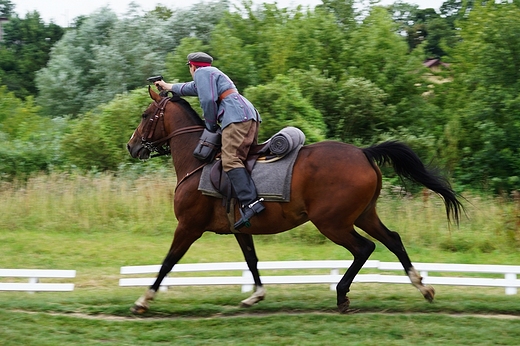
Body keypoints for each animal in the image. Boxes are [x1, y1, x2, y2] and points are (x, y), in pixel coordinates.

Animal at [126, 86, 464, 314]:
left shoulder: (188, 227)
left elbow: (168, 262)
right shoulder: (240, 229)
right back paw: (423, 287)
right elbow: (251, 260)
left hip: (332, 222)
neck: (198, 160)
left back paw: (342, 294)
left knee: (364, 248)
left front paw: (143, 300)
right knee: (393, 239)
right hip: (364, 215)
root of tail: (362, 152)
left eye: (144, 115)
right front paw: (256, 295)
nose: (131, 146)